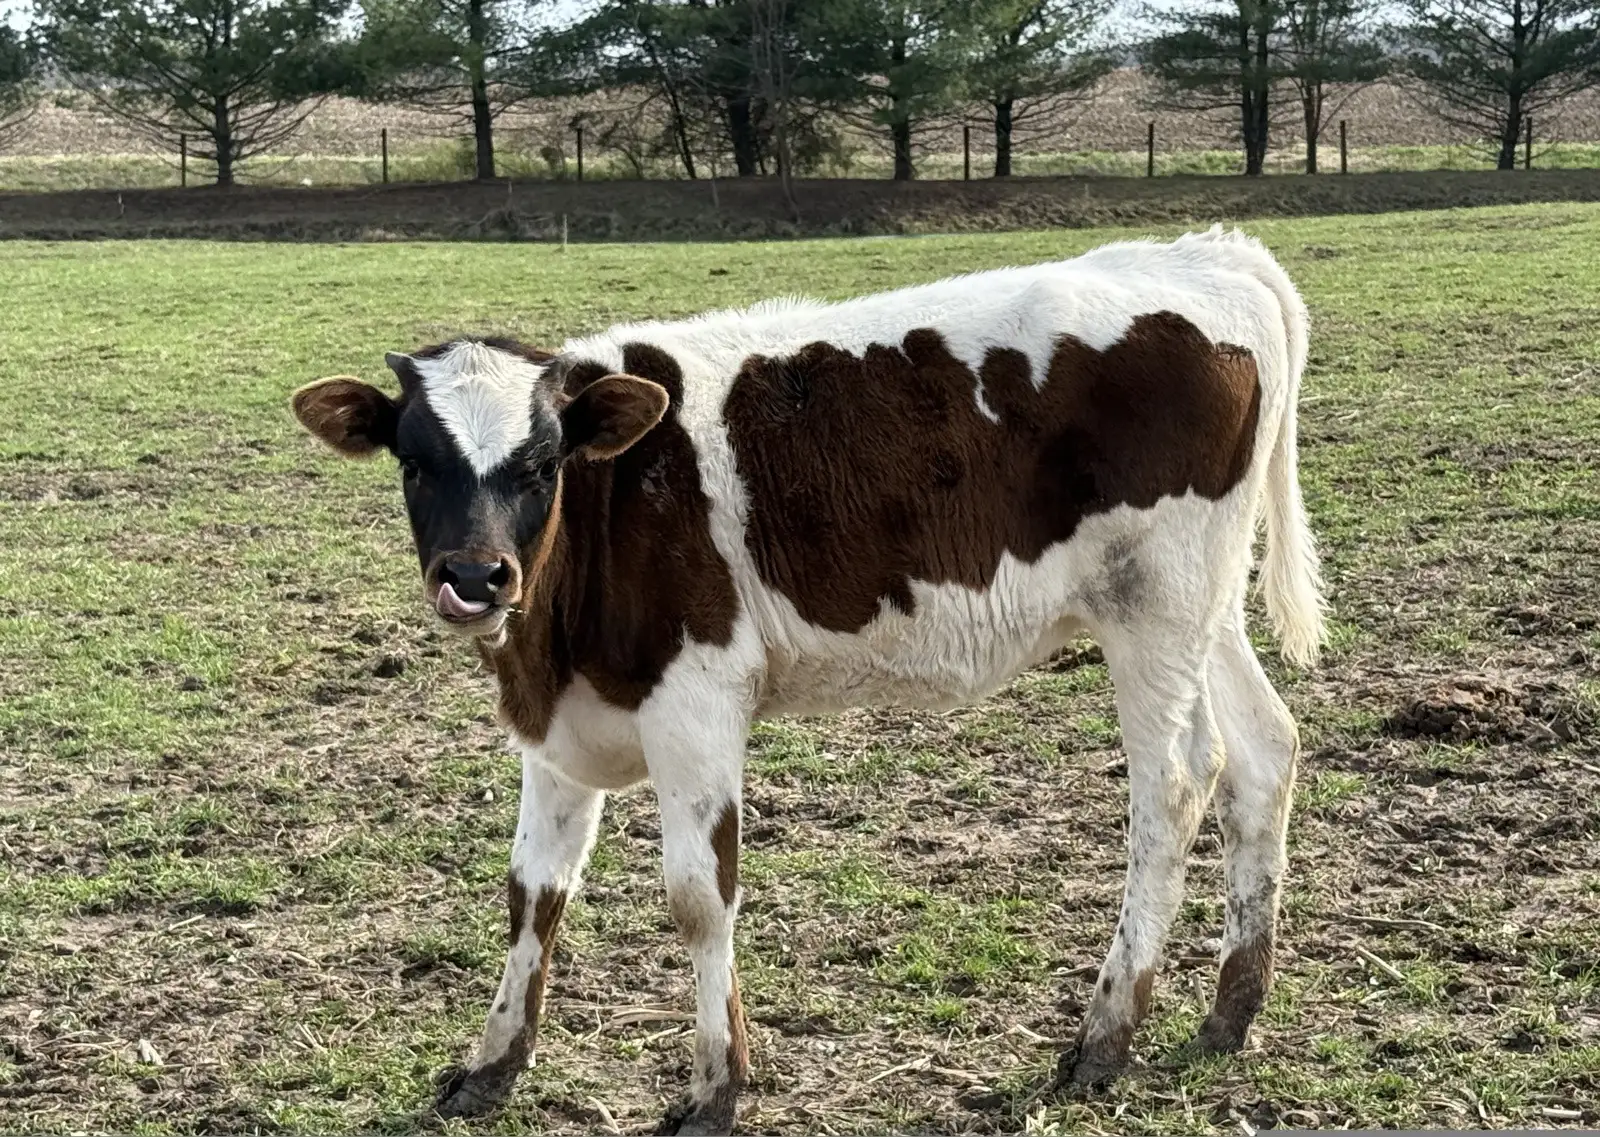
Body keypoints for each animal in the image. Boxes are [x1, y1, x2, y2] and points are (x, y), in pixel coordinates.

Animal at [290, 226, 1325, 1134]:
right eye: (414, 461)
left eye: (543, 463)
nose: (475, 577)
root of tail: (1206, 254)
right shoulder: (558, 729)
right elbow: (532, 892)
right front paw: (492, 1064)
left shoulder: (697, 703)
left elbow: (699, 895)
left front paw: (717, 1088)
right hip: (1203, 611)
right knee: (1263, 752)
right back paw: (1232, 1008)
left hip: (1154, 606)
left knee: (1175, 785)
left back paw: (1107, 1033)